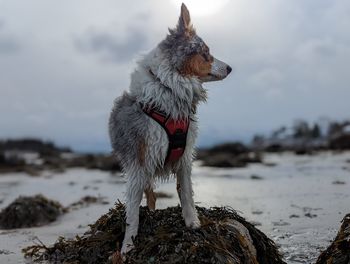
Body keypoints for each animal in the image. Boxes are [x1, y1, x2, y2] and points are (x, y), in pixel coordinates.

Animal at [108, 2, 231, 254]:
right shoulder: (138, 163)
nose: (230, 68)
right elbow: (132, 212)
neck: (170, 89)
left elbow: (186, 195)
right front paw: (127, 246)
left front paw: (193, 224)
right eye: (205, 52)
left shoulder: (185, 157)